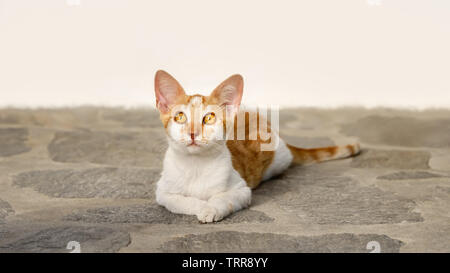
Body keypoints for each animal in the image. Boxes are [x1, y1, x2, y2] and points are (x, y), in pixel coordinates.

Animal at [153, 69, 360, 222]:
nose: (193, 133)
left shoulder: (242, 190)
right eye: (180, 117)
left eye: (209, 118)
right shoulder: (162, 192)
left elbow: (224, 198)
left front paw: (211, 208)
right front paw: (201, 205)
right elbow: (180, 201)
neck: (196, 165)